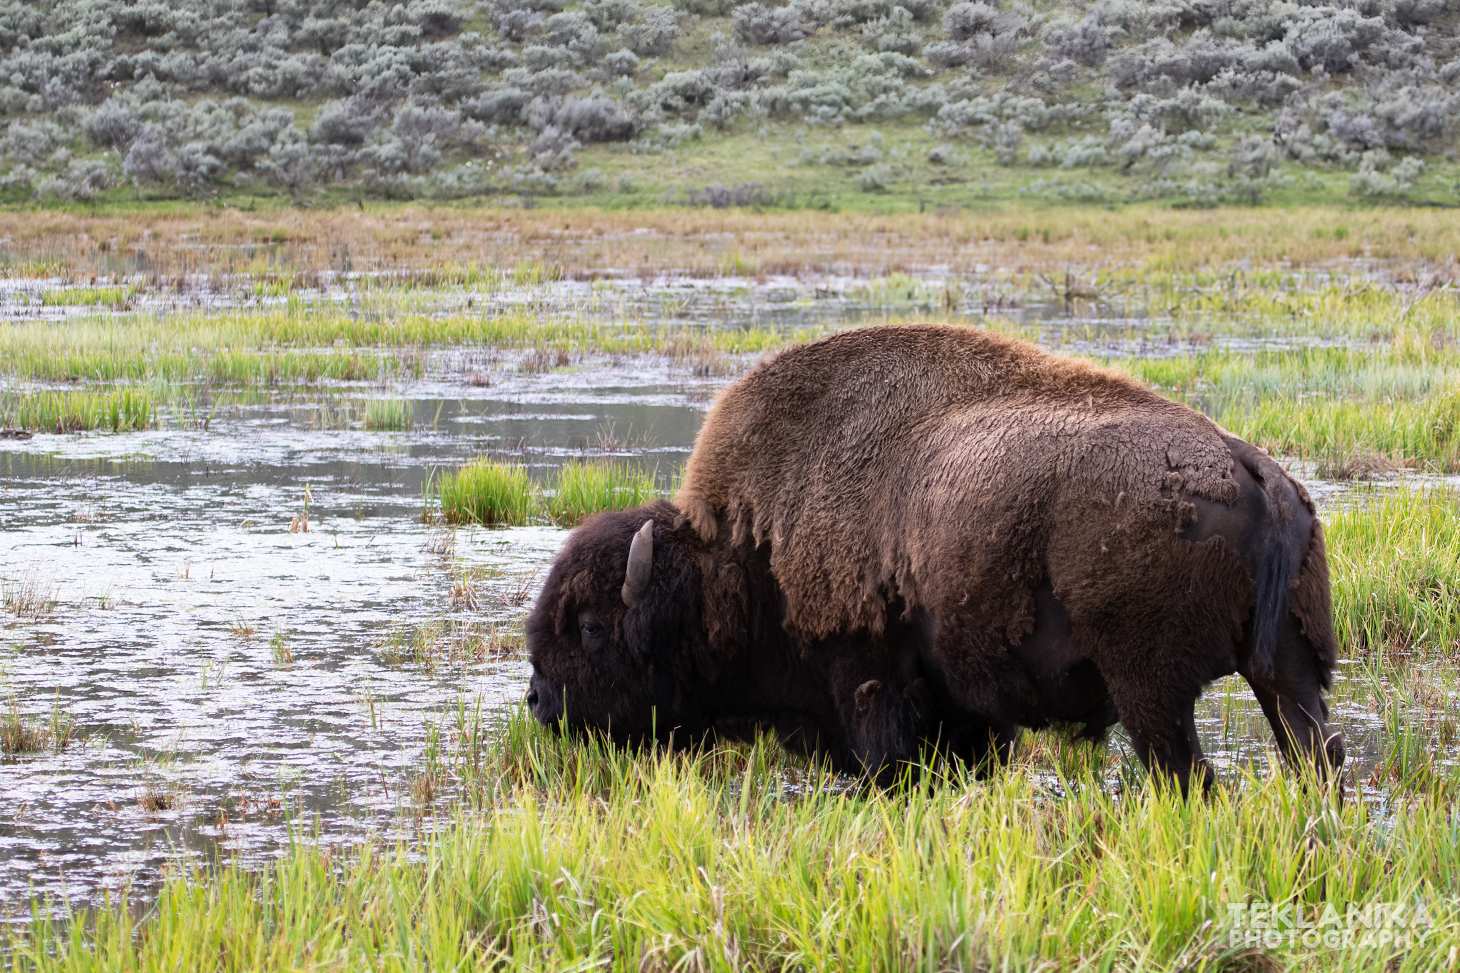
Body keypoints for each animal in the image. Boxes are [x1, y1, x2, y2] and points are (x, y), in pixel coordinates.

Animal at [526, 325, 1344, 794]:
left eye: (592, 626)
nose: (538, 702)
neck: (732, 557)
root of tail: (1255, 469)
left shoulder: (873, 685)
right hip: (1290, 670)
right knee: (1317, 757)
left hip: (1153, 691)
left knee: (1191, 778)